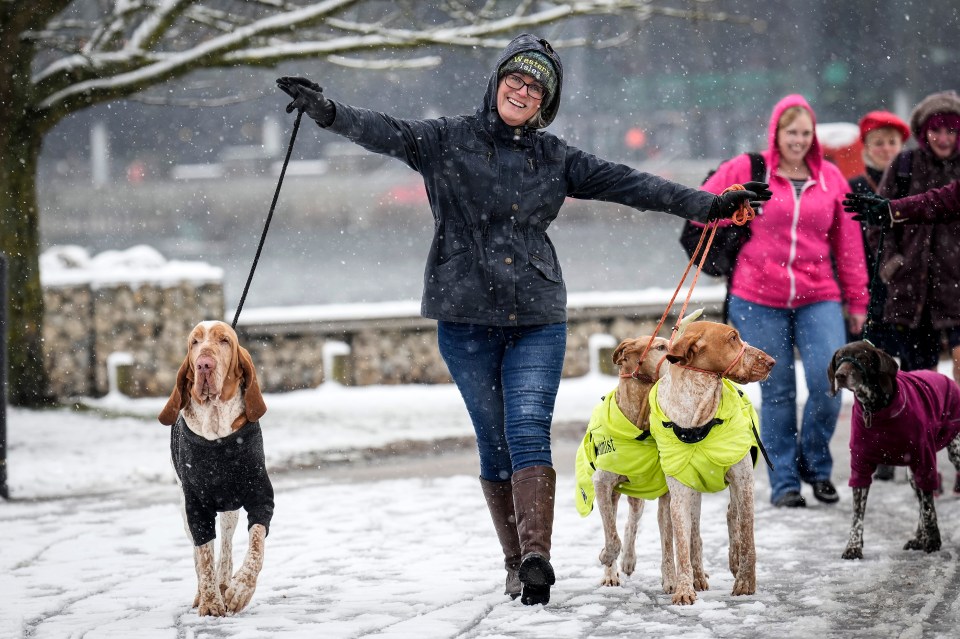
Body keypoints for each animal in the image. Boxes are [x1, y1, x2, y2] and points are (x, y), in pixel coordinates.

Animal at [158, 322, 270, 616]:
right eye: (194, 342)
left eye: (224, 341)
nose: (204, 365)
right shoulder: (195, 506)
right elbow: (204, 554)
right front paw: (209, 602)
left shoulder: (260, 497)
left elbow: (256, 546)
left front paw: (240, 591)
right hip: (185, 510)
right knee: (199, 553)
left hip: (230, 509)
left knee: (228, 545)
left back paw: (225, 583)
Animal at [824, 340, 960, 560]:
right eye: (839, 359)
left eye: (861, 358)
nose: (840, 375)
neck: (875, 409)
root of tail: (948, 379)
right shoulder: (860, 467)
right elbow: (857, 516)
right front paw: (853, 546)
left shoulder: (925, 461)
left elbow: (929, 508)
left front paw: (933, 541)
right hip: (912, 475)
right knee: (921, 501)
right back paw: (918, 538)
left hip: (954, 453)